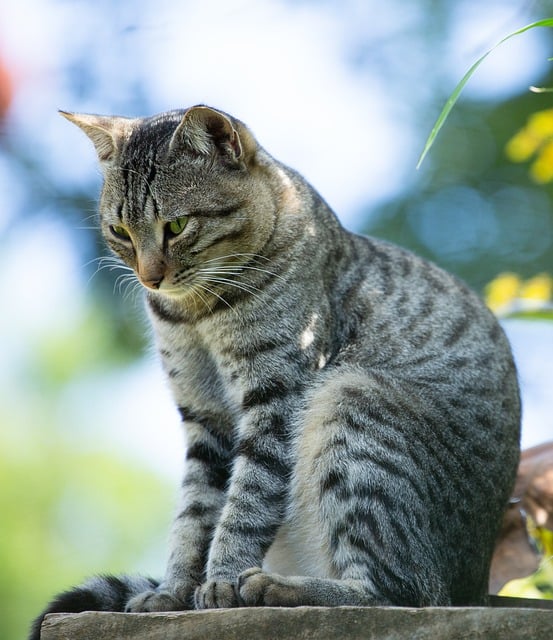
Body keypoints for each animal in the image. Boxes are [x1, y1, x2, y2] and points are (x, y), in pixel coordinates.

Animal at [31, 104, 520, 636]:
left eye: (177, 225)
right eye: (120, 232)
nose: (149, 277)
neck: (196, 314)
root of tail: (476, 588)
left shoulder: (276, 397)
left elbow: (246, 500)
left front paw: (222, 580)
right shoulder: (204, 418)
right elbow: (194, 514)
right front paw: (174, 592)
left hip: (352, 398)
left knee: (400, 593)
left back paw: (275, 586)